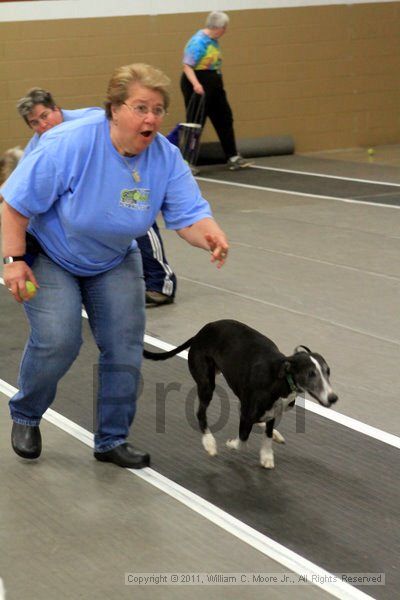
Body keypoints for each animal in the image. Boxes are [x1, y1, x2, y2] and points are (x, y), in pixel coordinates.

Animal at [144, 318, 338, 468]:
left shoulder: (272, 410)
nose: (333, 398)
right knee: (200, 413)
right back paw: (209, 443)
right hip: (207, 385)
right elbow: (243, 439)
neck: (280, 378)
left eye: (328, 371)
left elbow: (267, 434)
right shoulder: (250, 413)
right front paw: (232, 444)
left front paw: (266, 455)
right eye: (311, 374)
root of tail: (200, 333)